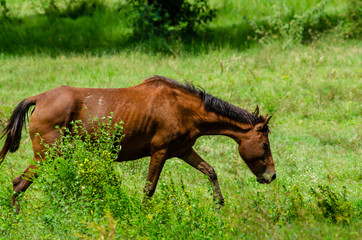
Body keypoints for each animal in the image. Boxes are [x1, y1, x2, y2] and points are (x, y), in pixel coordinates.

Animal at [0, 76, 278, 213]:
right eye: (265, 145)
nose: (271, 176)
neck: (183, 107)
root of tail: (39, 98)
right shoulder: (160, 152)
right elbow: (149, 189)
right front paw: (144, 216)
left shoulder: (184, 150)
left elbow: (210, 171)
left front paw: (219, 205)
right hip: (47, 155)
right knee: (19, 183)